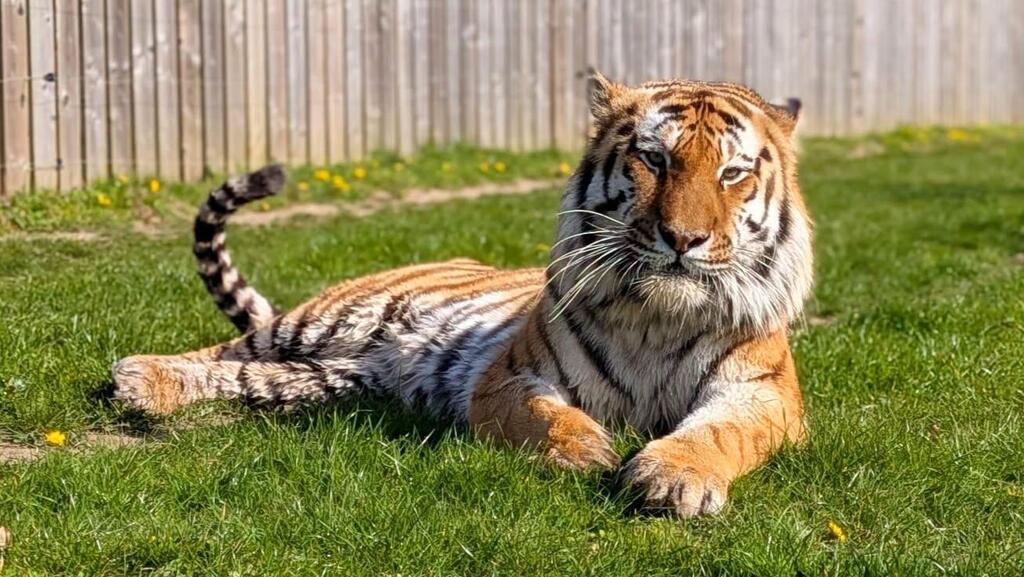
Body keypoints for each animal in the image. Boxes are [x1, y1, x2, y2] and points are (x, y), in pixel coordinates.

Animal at [113, 71, 812, 518]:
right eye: (655, 160)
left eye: (732, 173)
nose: (684, 238)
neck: (658, 316)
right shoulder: (510, 377)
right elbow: (545, 416)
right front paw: (588, 451)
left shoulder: (763, 394)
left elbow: (719, 433)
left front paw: (674, 476)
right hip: (326, 319)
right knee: (225, 351)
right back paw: (139, 377)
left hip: (329, 378)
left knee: (250, 377)